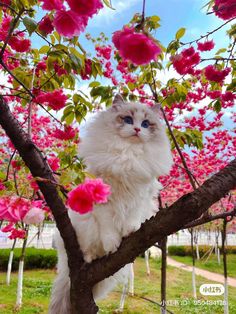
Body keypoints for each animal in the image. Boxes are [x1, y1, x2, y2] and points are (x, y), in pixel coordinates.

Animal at [48, 95, 172, 314]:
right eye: (128, 120)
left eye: (146, 124)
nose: (137, 129)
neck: (128, 155)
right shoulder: (102, 202)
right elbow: (107, 228)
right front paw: (112, 244)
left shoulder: (140, 196)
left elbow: (132, 218)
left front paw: (130, 230)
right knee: (87, 252)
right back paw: (90, 257)